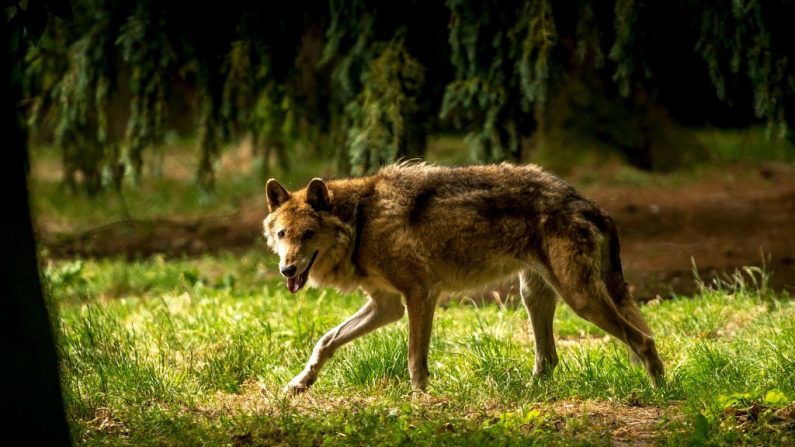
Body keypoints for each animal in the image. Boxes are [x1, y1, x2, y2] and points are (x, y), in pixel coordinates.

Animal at [262, 163, 664, 394]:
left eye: (308, 235)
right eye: (283, 235)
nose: (287, 270)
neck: (361, 221)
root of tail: (589, 204)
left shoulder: (420, 294)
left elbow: (414, 358)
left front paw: (419, 400)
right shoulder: (387, 305)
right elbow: (326, 341)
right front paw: (299, 384)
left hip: (579, 299)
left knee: (644, 340)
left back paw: (659, 393)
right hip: (535, 295)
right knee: (549, 359)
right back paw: (527, 392)